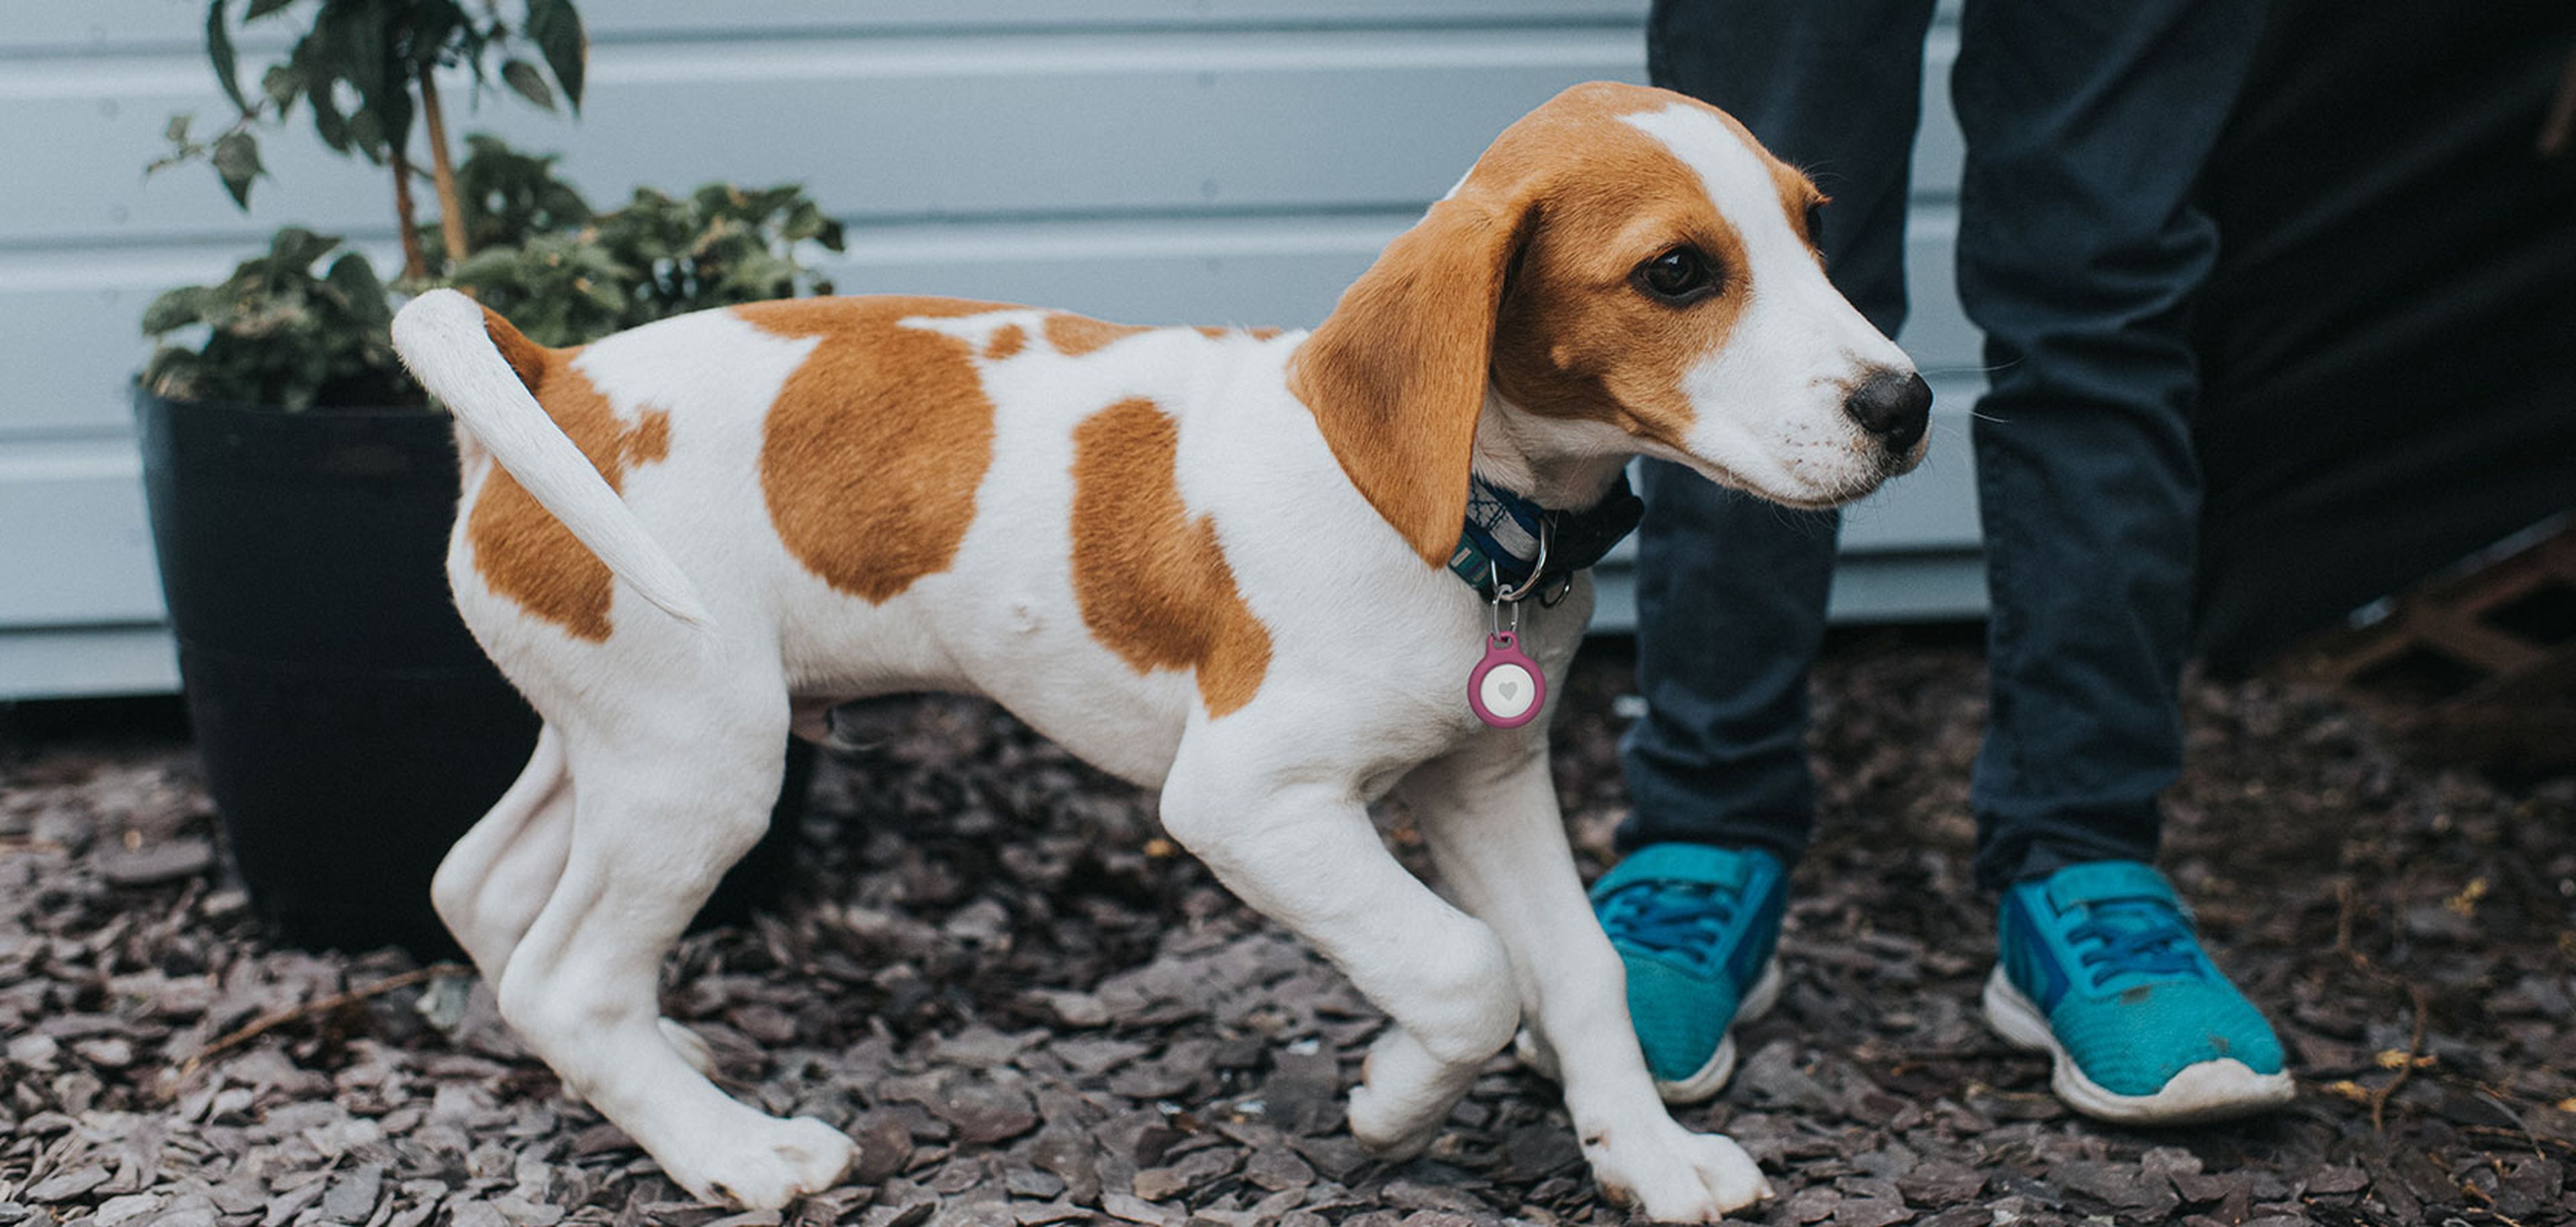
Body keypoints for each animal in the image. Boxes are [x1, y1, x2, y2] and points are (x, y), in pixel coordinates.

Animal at [391, 83, 1937, 1216]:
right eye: (1677, 272)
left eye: (1814, 227)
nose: (1908, 402)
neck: (1476, 519)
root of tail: (557, 382)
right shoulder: (1248, 798)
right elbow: (1464, 967)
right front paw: (1393, 1095)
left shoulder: (1486, 779)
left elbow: (1582, 969)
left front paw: (1646, 1154)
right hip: (705, 757)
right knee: (567, 972)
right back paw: (734, 1148)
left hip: (619, 734)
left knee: (485, 891)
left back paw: (667, 1063)